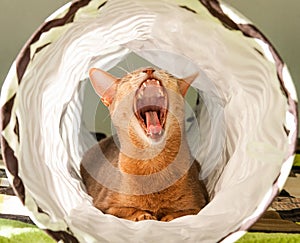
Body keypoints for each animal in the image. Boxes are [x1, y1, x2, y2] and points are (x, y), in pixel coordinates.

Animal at [79, 67, 209, 221]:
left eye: (165, 72)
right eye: (129, 77)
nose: (149, 69)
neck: (153, 162)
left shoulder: (198, 204)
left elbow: (182, 213)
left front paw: (168, 217)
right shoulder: (105, 206)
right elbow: (125, 210)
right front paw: (143, 215)